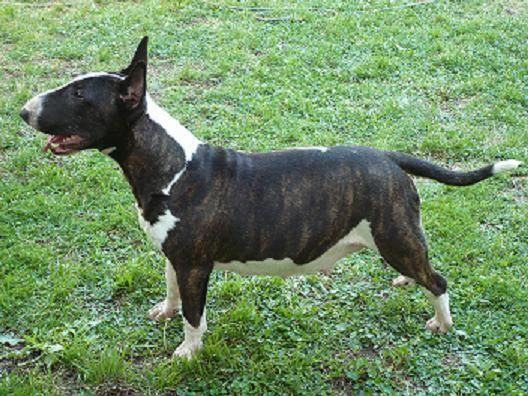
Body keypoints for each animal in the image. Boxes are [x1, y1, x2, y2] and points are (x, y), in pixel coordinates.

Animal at [19, 37, 520, 358]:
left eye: (79, 94)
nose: (23, 111)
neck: (171, 166)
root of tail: (388, 157)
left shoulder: (195, 265)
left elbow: (194, 315)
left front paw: (187, 353)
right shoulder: (173, 256)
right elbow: (171, 289)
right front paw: (165, 311)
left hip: (394, 234)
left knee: (439, 280)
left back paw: (442, 322)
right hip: (396, 236)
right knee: (422, 269)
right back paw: (404, 283)